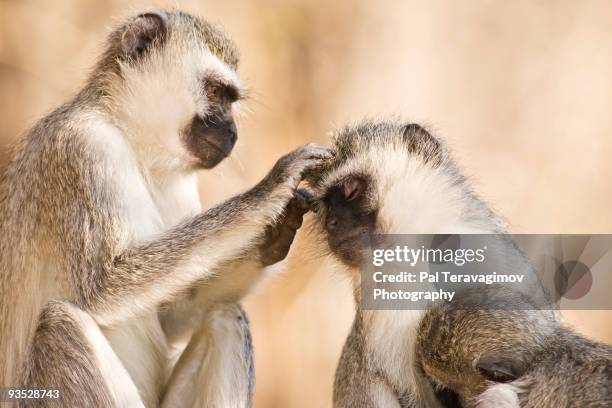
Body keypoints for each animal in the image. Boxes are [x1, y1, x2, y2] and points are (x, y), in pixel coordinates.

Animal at [0, 10, 330, 408]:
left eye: (231, 100)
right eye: (216, 93)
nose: (232, 132)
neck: (132, 141)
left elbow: (169, 315)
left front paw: (276, 231)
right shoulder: (81, 148)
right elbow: (101, 288)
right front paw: (268, 192)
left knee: (227, 317)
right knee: (61, 324)